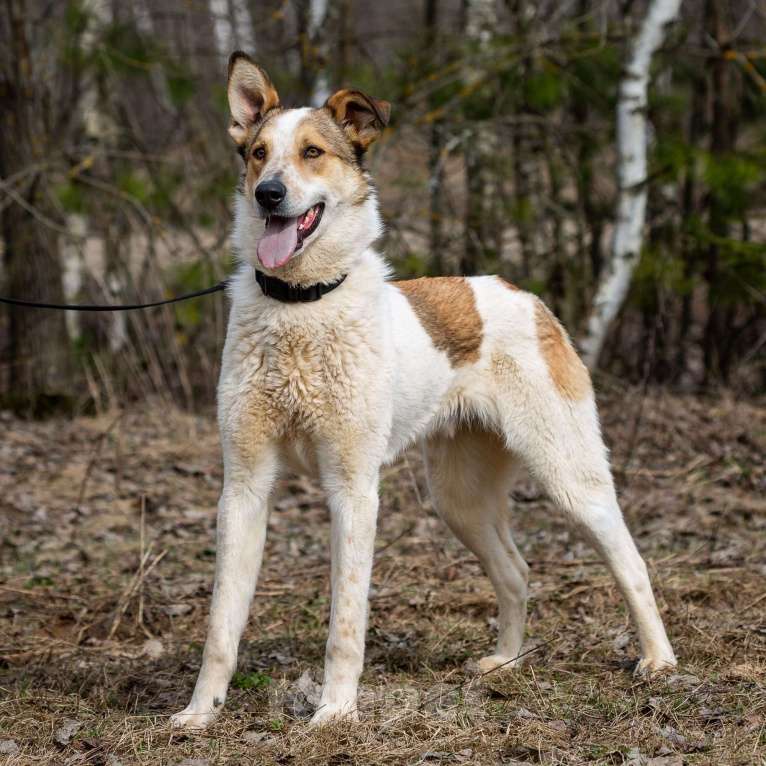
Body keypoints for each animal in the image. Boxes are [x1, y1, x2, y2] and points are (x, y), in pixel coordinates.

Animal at [171, 51, 676, 728]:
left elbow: (345, 623)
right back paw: (505, 662)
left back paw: (658, 660)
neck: (302, 305)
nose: (267, 194)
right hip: (457, 498)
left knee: (631, 562)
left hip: (571, 477)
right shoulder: (244, 489)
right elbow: (222, 624)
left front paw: (335, 711)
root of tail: (523, 294)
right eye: (258, 154)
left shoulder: (353, 490)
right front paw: (201, 713)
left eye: (311, 153)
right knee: (516, 572)